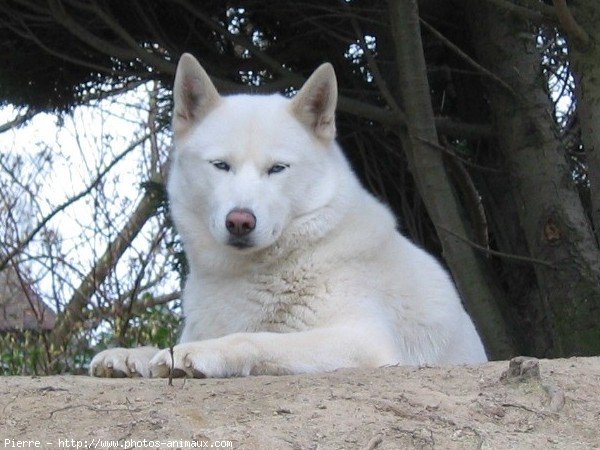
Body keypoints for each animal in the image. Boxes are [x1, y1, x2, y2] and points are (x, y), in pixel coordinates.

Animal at [92, 54, 488, 378]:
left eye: (277, 169)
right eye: (221, 166)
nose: (240, 221)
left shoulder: (364, 340)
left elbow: (257, 338)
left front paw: (201, 353)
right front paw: (129, 357)